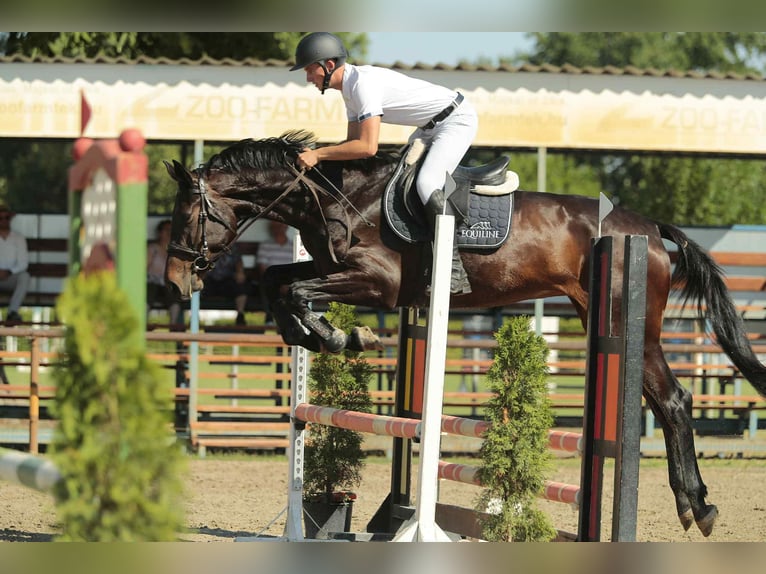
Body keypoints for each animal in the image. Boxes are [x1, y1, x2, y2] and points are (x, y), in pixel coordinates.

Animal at [164, 129, 766, 538]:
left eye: (188, 215)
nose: (173, 280)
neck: (335, 196)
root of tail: (646, 228)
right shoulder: (335, 271)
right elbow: (277, 283)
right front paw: (327, 337)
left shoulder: (378, 284)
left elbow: (293, 291)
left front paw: (341, 337)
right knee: (668, 402)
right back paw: (696, 506)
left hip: (628, 325)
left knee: (674, 400)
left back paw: (696, 507)